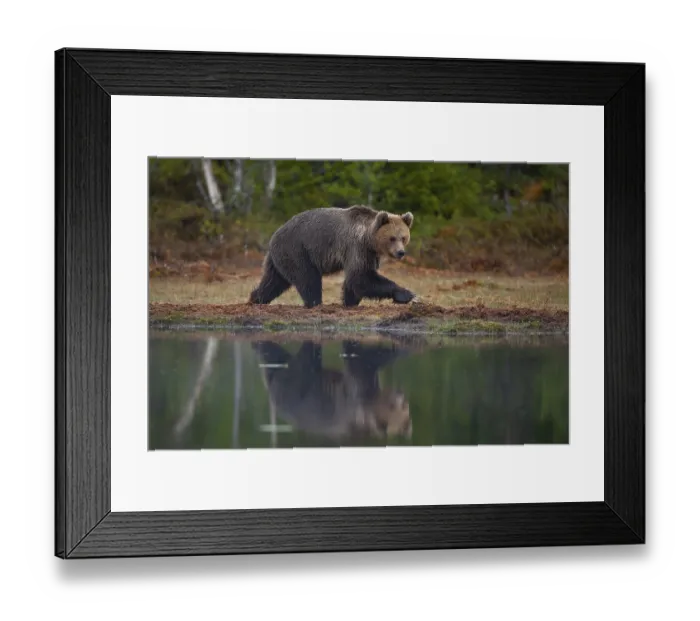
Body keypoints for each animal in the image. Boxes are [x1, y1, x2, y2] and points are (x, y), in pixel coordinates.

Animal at [249, 205, 416, 308]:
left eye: (403, 238)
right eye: (392, 238)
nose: (400, 252)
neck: (370, 239)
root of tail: (274, 236)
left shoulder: (370, 254)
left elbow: (355, 280)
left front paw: (350, 301)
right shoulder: (356, 247)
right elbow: (361, 276)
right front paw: (406, 294)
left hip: (279, 257)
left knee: (274, 281)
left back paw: (256, 299)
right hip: (297, 250)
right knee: (308, 279)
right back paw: (315, 303)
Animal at [252, 338, 413, 444]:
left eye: (404, 410)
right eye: (392, 407)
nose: (401, 396)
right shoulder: (354, 395)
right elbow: (364, 360)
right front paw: (400, 350)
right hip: (295, 384)